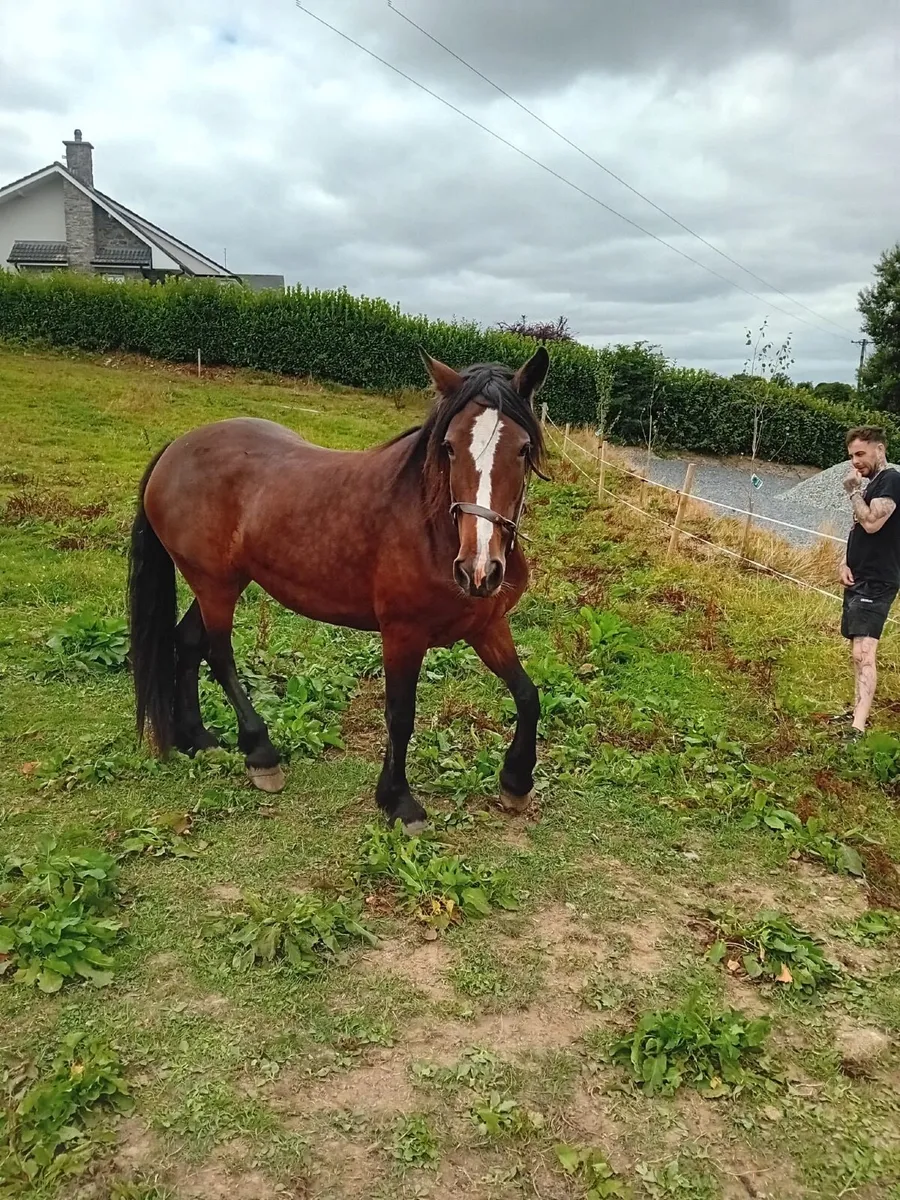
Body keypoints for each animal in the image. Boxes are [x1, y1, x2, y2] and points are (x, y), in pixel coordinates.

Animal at [127, 346, 550, 833]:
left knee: (189, 642)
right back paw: (260, 752)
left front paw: (516, 780)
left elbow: (528, 695)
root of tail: (176, 448)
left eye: (522, 448)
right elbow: (400, 715)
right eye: (448, 446)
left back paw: (197, 737)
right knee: (218, 654)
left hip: (222, 582)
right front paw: (397, 800)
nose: (479, 570)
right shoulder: (402, 634)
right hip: (215, 585)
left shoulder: (486, 625)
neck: (431, 527)